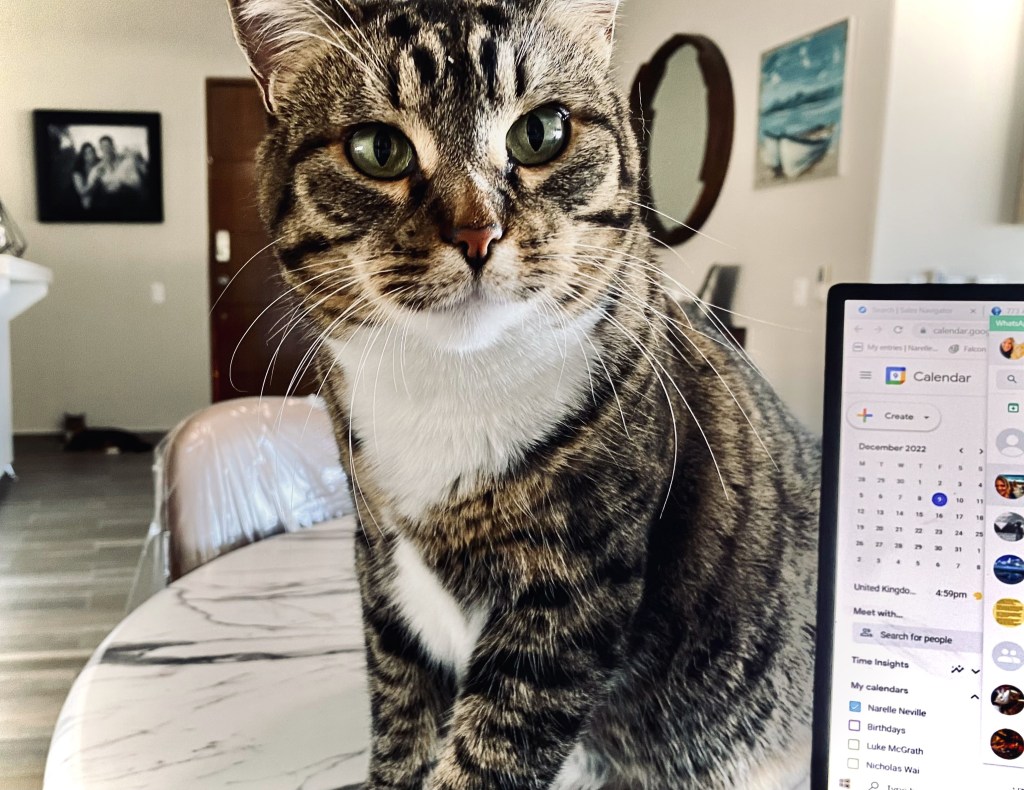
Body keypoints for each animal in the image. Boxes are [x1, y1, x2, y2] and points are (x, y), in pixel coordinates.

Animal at [227, 1, 821, 788]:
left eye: (540, 132)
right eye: (378, 149)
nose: (478, 232)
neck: (453, 389)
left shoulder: (568, 602)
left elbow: (486, 755)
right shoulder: (383, 572)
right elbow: (401, 725)